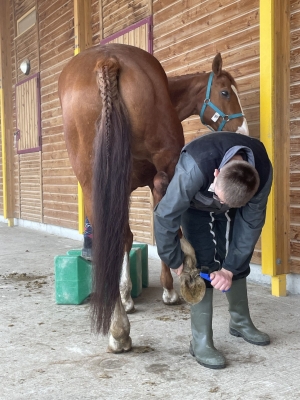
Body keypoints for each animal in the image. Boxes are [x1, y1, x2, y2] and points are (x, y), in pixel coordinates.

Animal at [58, 42, 248, 352]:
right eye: (225, 93)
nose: (244, 130)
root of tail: (107, 61)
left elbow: (125, 238)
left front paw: (125, 295)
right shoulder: (157, 179)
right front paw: (170, 287)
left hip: (91, 183)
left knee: (112, 236)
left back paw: (117, 326)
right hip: (163, 166)